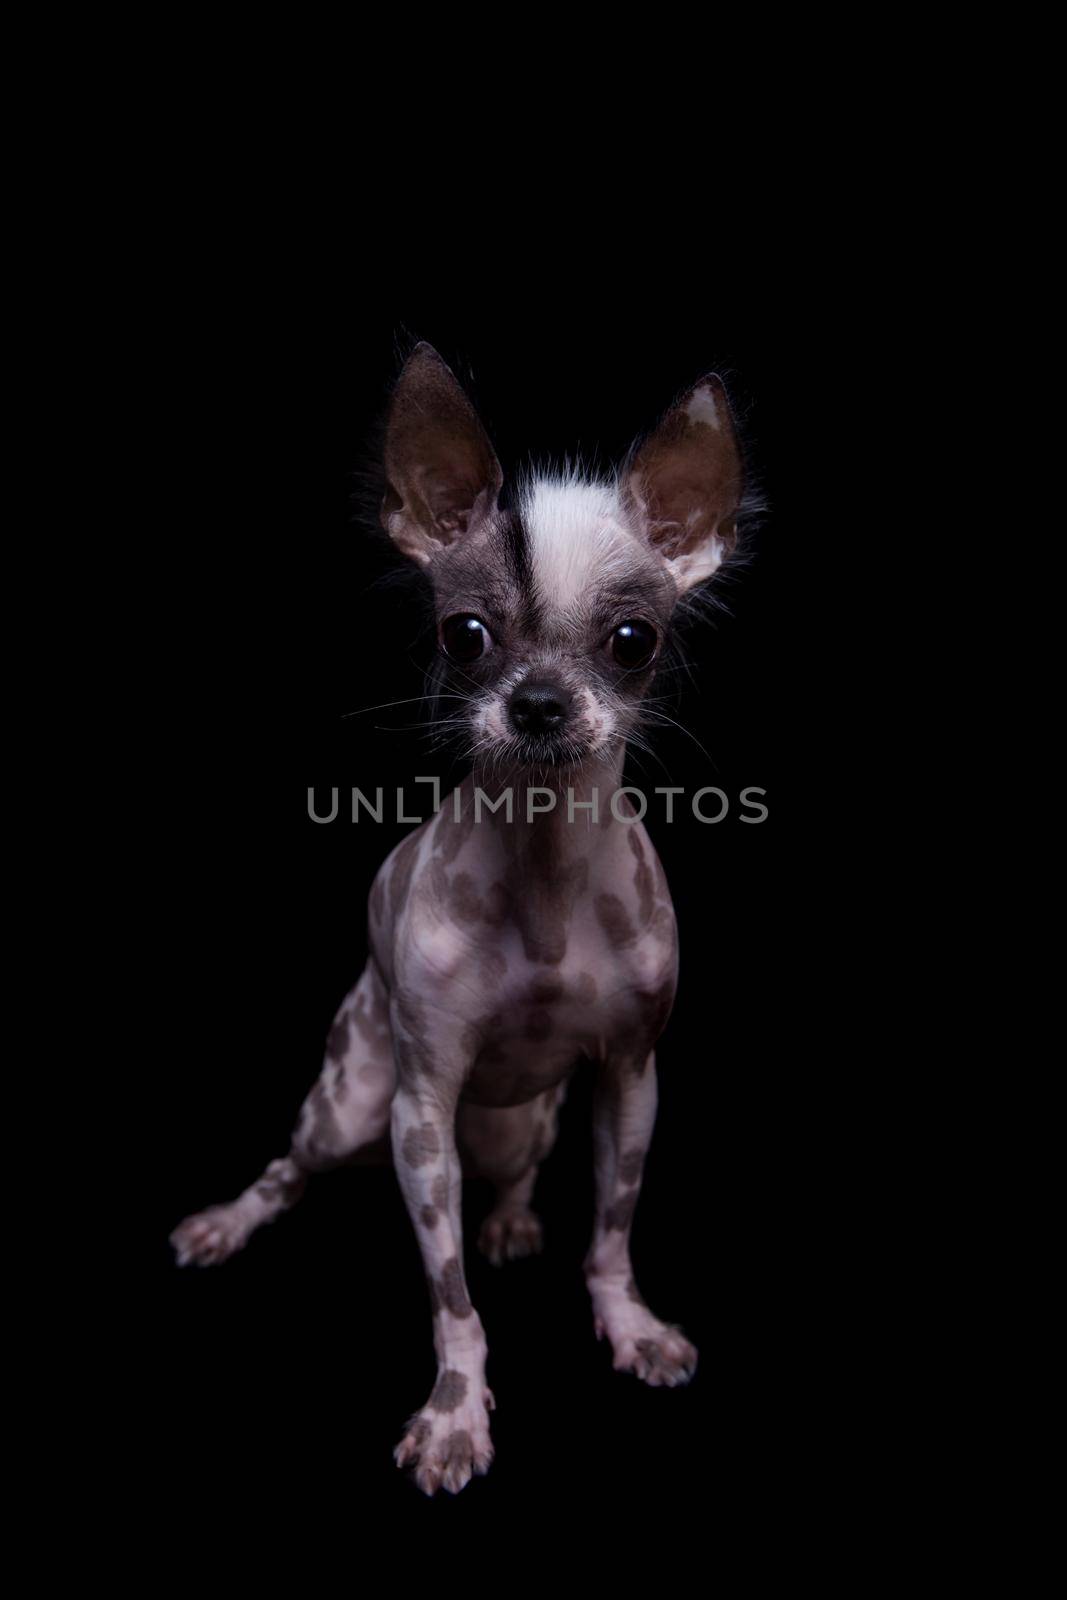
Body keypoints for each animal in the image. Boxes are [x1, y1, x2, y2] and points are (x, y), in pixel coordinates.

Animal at [171, 344, 748, 1491]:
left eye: (632, 641)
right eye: (465, 634)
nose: (537, 704)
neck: (544, 879)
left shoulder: (630, 1079)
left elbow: (610, 1235)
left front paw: (629, 1326)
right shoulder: (418, 1113)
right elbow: (451, 1302)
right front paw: (452, 1415)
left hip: (532, 1116)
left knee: (516, 1168)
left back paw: (513, 1216)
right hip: (346, 1103)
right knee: (289, 1169)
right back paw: (228, 1221)